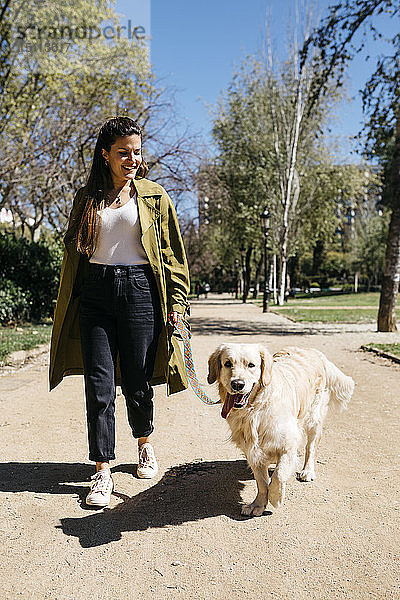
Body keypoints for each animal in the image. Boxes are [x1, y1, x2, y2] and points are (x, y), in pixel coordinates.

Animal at [208, 342, 354, 516]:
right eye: (227, 364)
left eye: (251, 365)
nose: (237, 384)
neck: (255, 409)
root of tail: (314, 351)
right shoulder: (252, 450)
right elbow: (262, 482)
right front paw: (257, 505)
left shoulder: (288, 444)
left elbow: (279, 474)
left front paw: (275, 497)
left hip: (314, 417)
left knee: (310, 447)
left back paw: (307, 471)